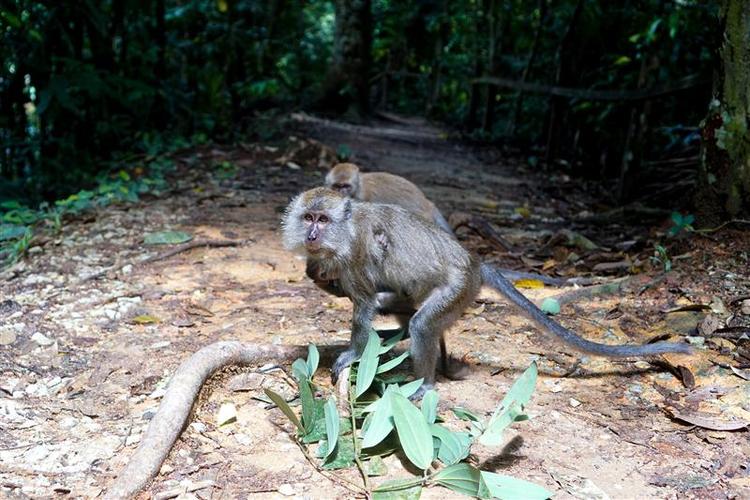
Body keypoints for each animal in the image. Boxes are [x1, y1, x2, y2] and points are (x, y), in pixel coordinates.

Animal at [282, 188, 691, 398]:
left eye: (323, 220)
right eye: (308, 218)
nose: (312, 236)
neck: (346, 230)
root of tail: (476, 264)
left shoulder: (353, 258)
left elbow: (364, 306)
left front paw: (353, 353)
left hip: (459, 287)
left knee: (422, 324)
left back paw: (426, 381)